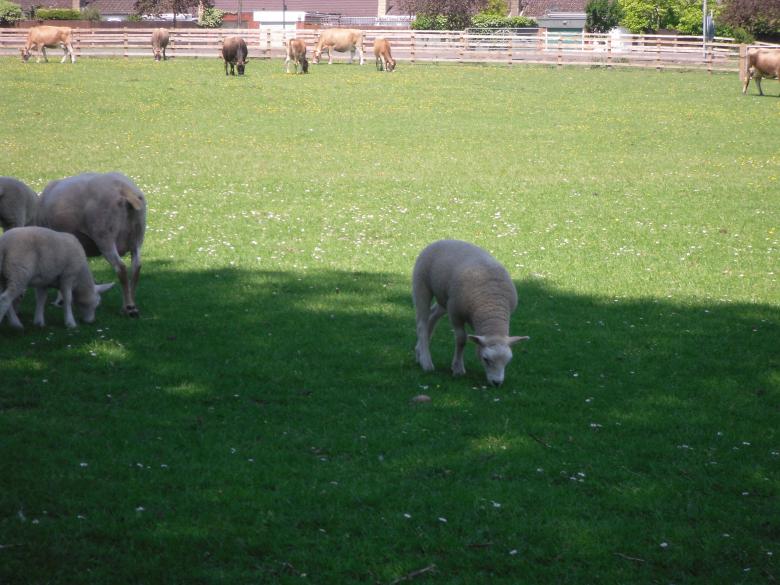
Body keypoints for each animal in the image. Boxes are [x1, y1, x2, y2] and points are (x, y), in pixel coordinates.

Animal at [37, 172, 146, 317]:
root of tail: (123, 189)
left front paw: (60, 300)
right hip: (137, 237)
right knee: (136, 267)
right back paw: (132, 305)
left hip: (104, 235)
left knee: (120, 268)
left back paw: (128, 307)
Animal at [412, 240, 529, 386]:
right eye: (486, 359)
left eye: (508, 361)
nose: (497, 383)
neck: (491, 307)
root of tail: (443, 240)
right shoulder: (455, 312)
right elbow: (461, 339)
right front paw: (458, 368)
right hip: (422, 284)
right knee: (421, 324)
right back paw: (426, 362)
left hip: (445, 298)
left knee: (432, 316)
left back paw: (419, 353)